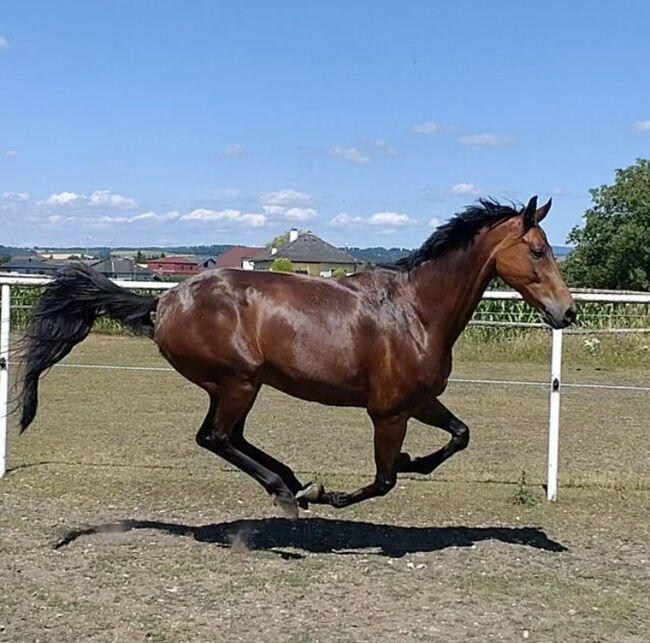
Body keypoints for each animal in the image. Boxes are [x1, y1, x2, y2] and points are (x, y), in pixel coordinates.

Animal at [19, 196, 572, 520]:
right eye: (538, 251)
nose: (566, 311)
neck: (415, 311)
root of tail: (164, 302)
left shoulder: (418, 401)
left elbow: (460, 435)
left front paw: (414, 461)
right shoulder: (389, 412)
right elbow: (384, 480)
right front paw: (334, 494)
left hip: (237, 386)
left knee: (223, 437)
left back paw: (291, 480)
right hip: (238, 383)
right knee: (217, 438)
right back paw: (289, 491)